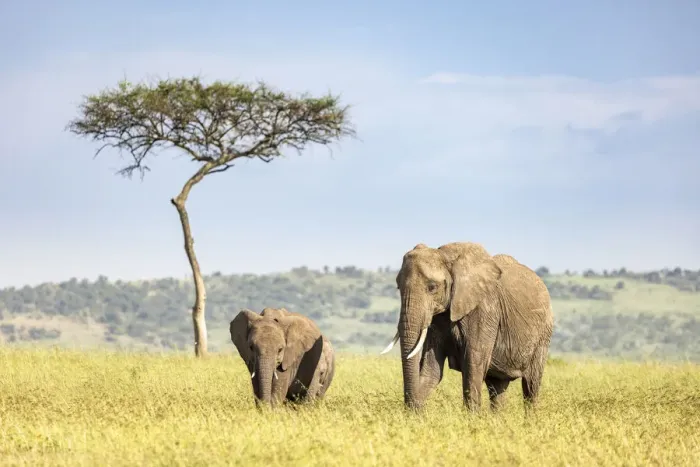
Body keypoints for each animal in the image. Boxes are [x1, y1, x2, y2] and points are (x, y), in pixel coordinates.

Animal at [380, 242, 553, 412]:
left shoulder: (484, 311)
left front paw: (472, 417)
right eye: (398, 287)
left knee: (531, 386)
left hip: (543, 335)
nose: (410, 409)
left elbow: (473, 365)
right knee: (497, 387)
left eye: (432, 287)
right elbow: (431, 370)